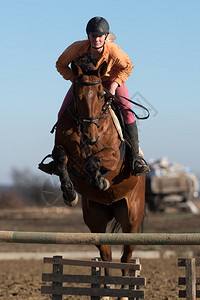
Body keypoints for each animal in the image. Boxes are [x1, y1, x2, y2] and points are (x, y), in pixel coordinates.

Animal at [53, 55, 145, 296]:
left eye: (102, 94)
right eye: (77, 95)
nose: (91, 136)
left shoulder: (112, 154)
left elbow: (95, 161)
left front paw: (100, 181)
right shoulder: (64, 150)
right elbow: (61, 157)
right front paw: (69, 193)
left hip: (131, 218)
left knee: (126, 257)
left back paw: (123, 290)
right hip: (95, 219)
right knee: (106, 254)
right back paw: (107, 286)